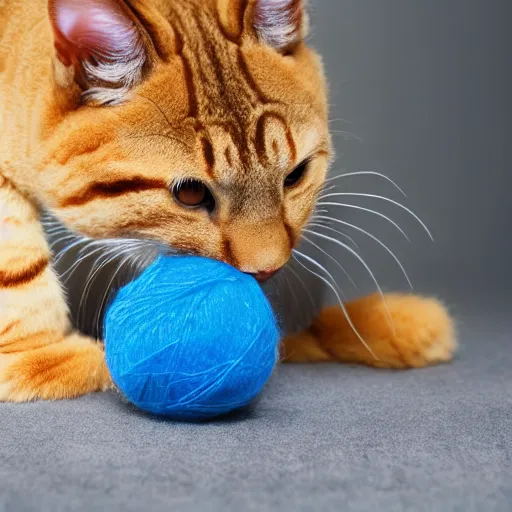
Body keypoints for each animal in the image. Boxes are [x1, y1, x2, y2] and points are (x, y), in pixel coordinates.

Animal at [0, 0, 456, 402]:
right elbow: (18, 263)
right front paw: (44, 359)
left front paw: (391, 325)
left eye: (295, 175)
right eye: (190, 193)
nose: (267, 268)